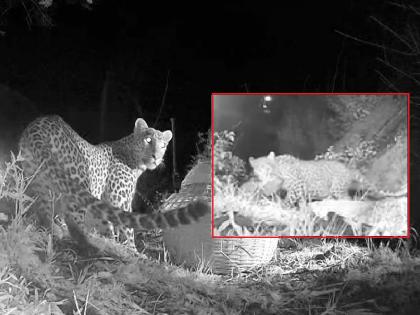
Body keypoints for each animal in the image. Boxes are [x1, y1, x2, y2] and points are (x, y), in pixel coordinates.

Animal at [18, 115, 209, 253]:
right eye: (148, 140)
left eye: (163, 146)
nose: (156, 157)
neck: (135, 161)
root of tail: (38, 126)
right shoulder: (120, 198)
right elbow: (128, 228)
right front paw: (133, 251)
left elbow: (107, 223)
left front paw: (111, 242)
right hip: (77, 179)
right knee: (74, 219)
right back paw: (86, 244)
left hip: (38, 180)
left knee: (44, 210)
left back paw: (54, 230)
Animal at [248, 152, 406, 209]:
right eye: (257, 169)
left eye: (267, 167)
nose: (262, 177)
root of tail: (346, 168)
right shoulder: (300, 190)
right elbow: (301, 202)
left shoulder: (296, 186)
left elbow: (289, 200)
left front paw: (281, 206)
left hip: (338, 189)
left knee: (347, 199)